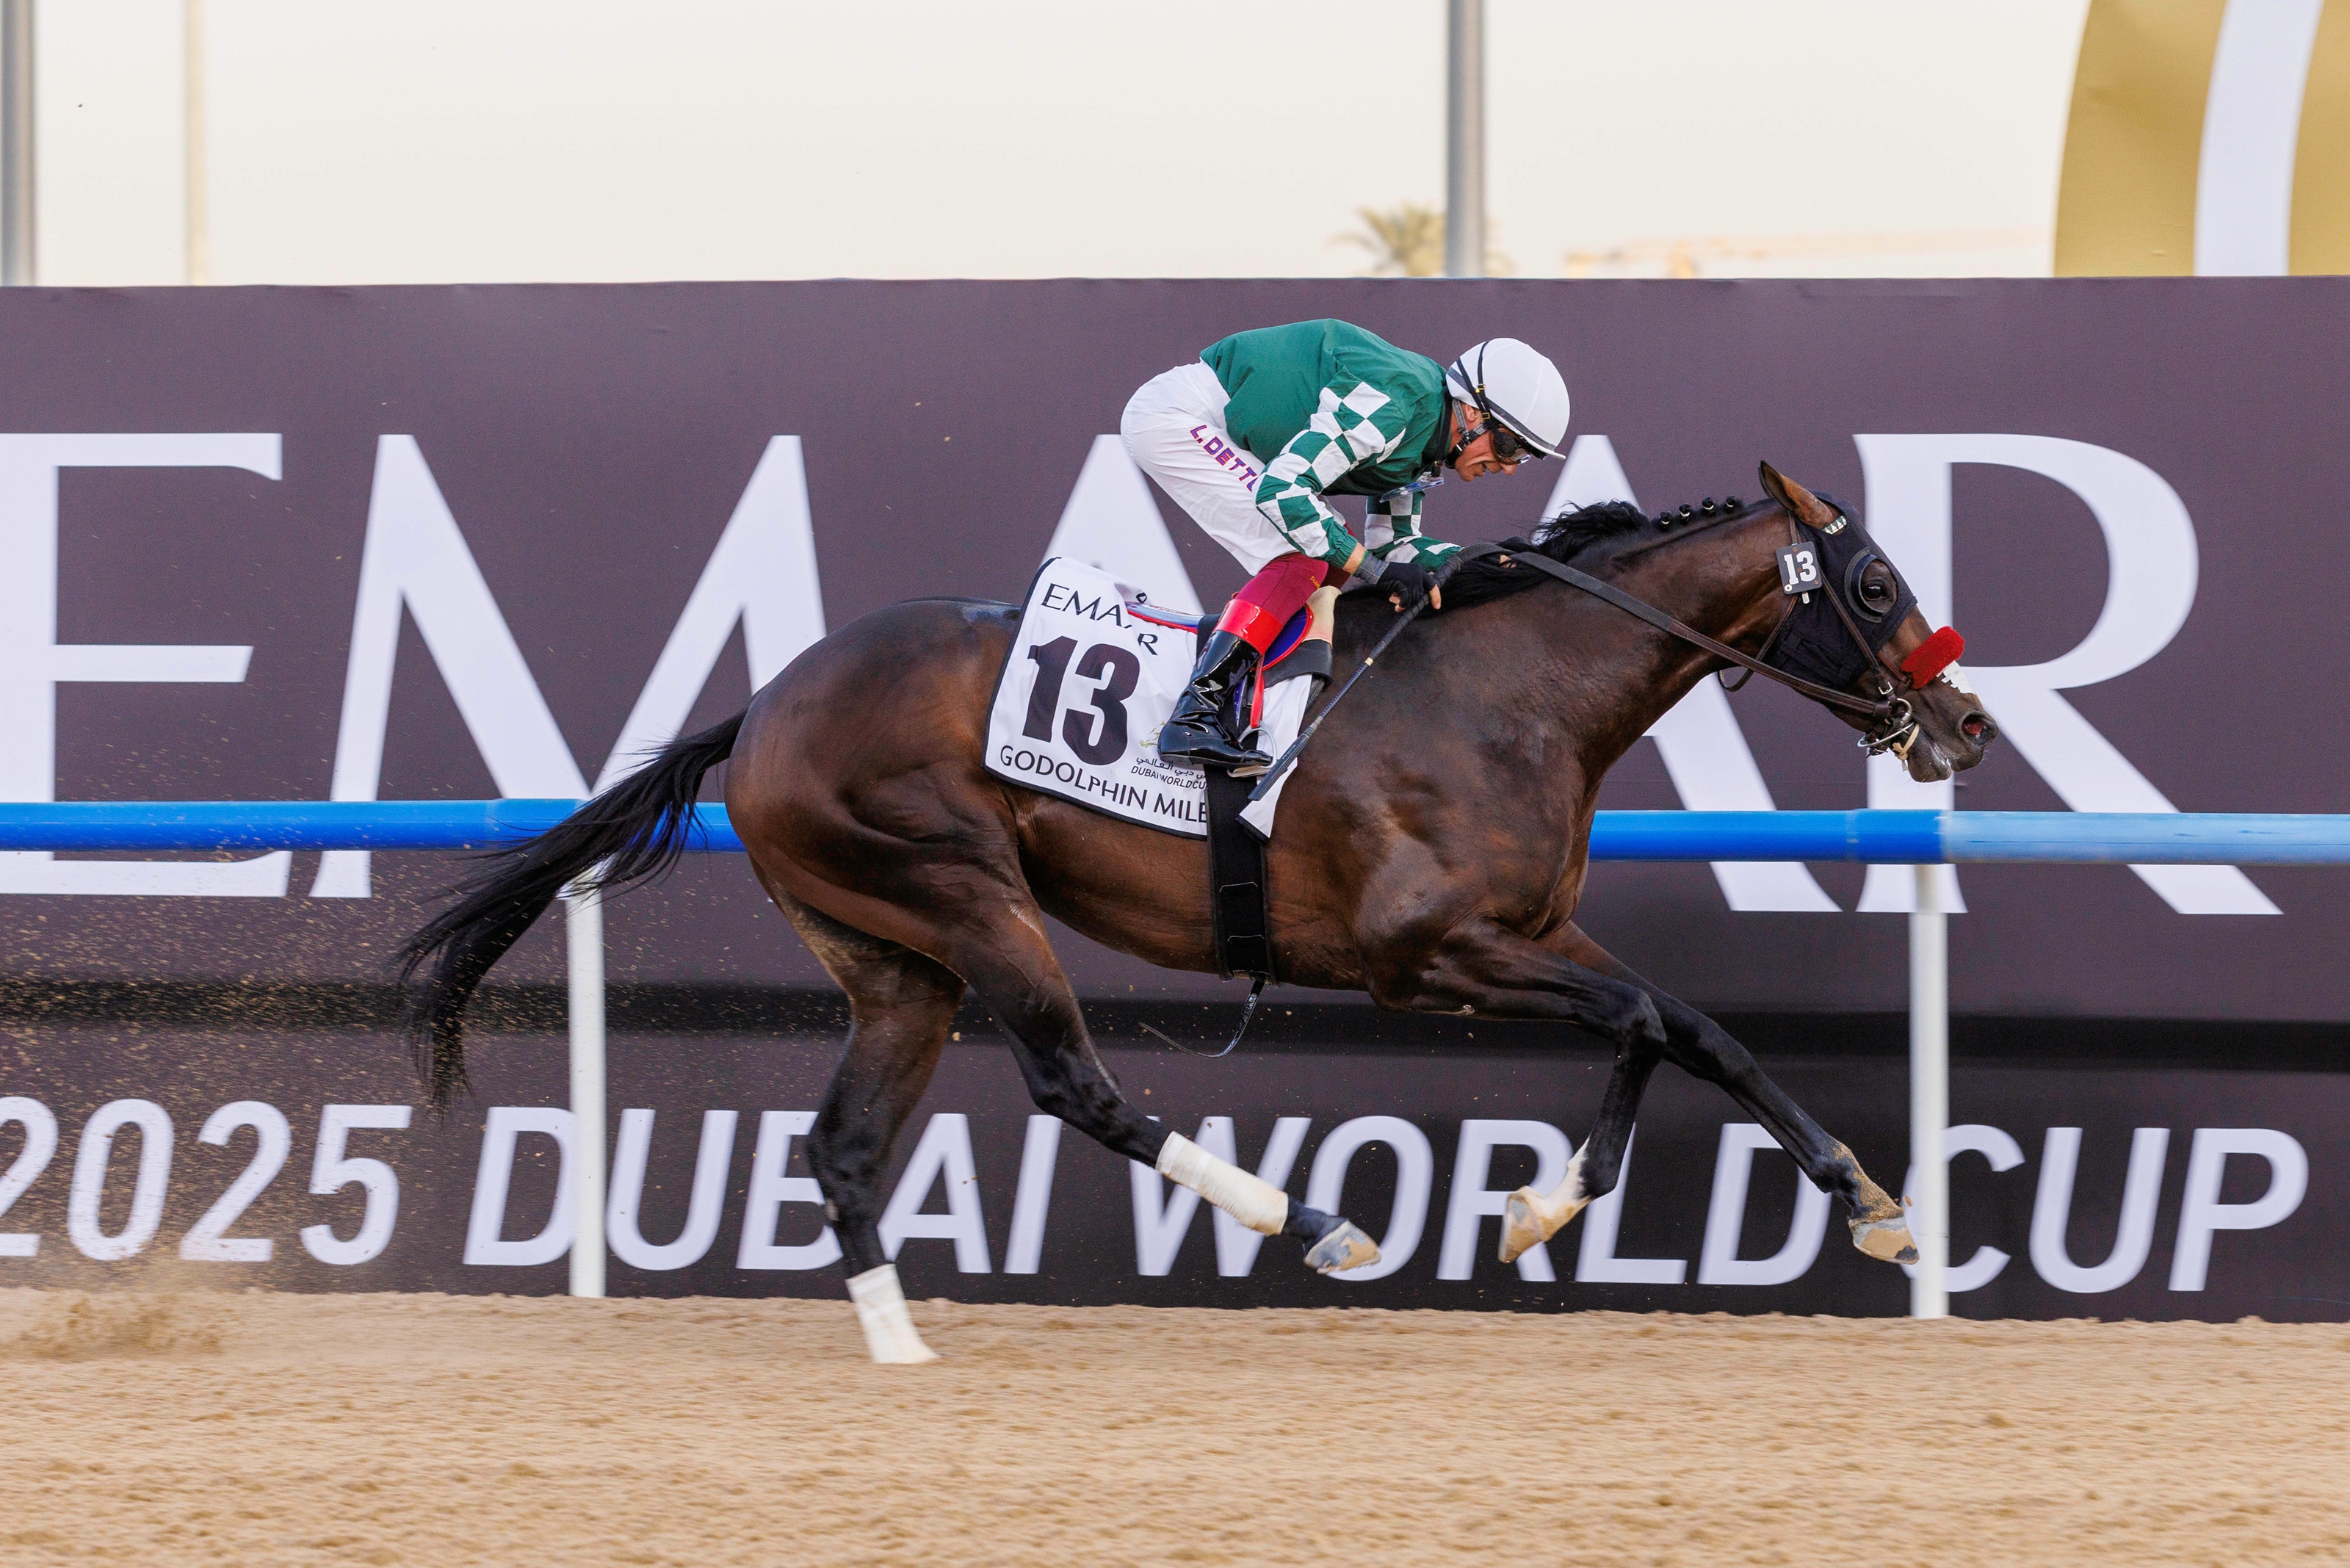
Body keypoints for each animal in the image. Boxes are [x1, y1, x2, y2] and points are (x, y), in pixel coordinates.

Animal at [399, 462, 1999, 1361]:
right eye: (1873, 581)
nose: (1967, 725)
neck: (1512, 691)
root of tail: (767, 701)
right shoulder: (1428, 952)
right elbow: (1652, 1019)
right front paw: (1552, 1203)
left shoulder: (1532, 931)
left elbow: (1686, 1027)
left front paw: (1861, 1204)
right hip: (964, 894)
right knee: (1073, 1081)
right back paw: (1316, 1224)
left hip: (895, 958)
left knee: (844, 1146)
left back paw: (902, 1346)